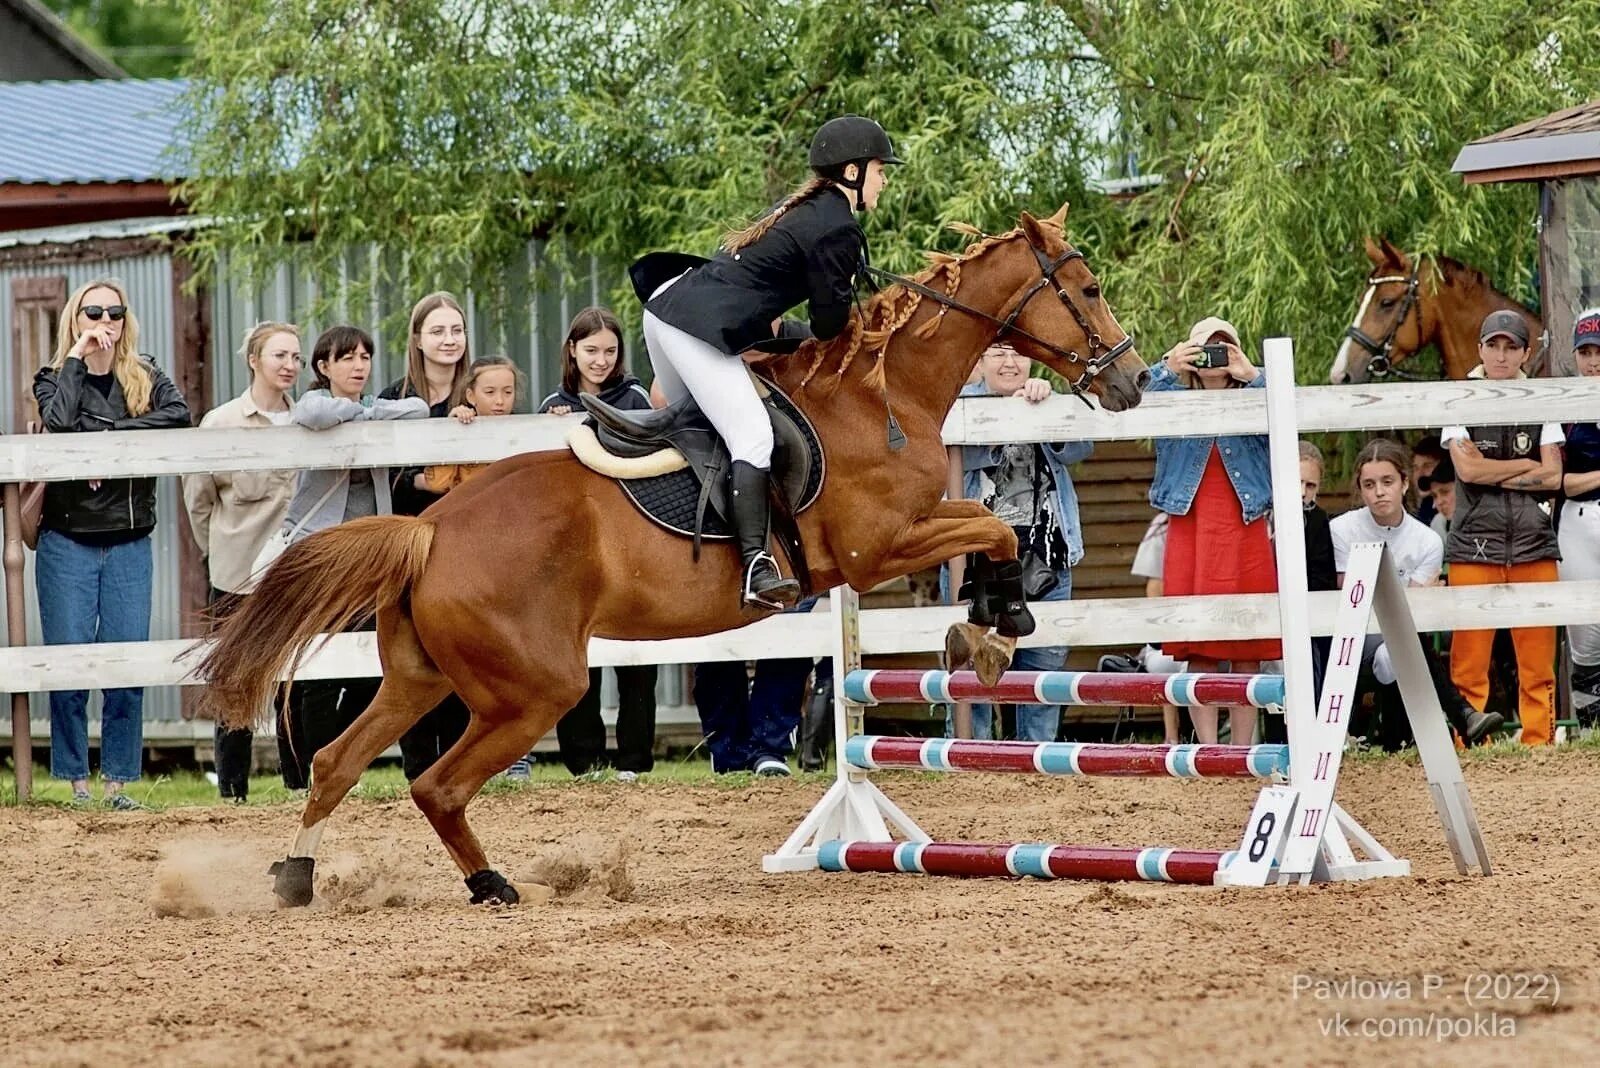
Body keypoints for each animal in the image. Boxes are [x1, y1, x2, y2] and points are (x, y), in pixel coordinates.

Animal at [196, 204, 1152, 908]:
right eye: (1090, 286)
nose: (1132, 381)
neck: (883, 393)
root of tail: (432, 529)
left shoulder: (896, 537)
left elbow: (985, 524)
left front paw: (986, 625)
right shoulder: (873, 550)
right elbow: (993, 529)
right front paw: (997, 625)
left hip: (422, 676)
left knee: (337, 762)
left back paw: (297, 877)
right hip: (534, 689)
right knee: (436, 783)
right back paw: (493, 884)